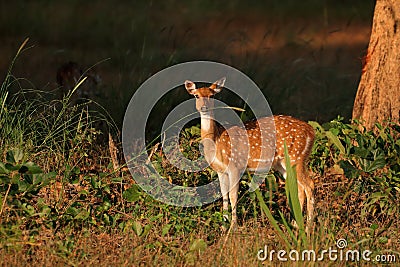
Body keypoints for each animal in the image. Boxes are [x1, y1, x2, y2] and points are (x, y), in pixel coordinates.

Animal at [185, 77, 316, 230]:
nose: (204, 107)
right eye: (196, 95)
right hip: (284, 165)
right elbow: (224, 196)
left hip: (296, 157)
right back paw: (295, 224)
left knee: (309, 185)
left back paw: (308, 228)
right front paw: (223, 227)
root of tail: (311, 132)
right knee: (299, 188)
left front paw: (232, 228)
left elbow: (233, 196)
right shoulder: (220, 171)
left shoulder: (235, 166)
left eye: (212, 96)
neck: (216, 141)